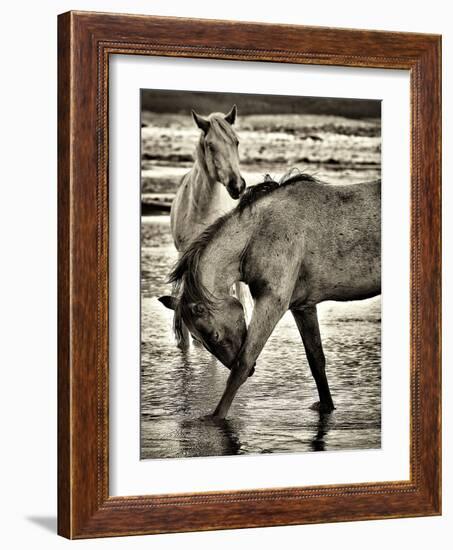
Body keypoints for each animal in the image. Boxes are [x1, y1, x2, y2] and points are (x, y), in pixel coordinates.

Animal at [159, 175, 378, 420]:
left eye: (214, 335)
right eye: (198, 340)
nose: (254, 372)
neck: (258, 235)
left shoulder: (272, 303)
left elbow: (242, 364)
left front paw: (215, 418)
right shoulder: (303, 307)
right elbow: (316, 360)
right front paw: (326, 406)